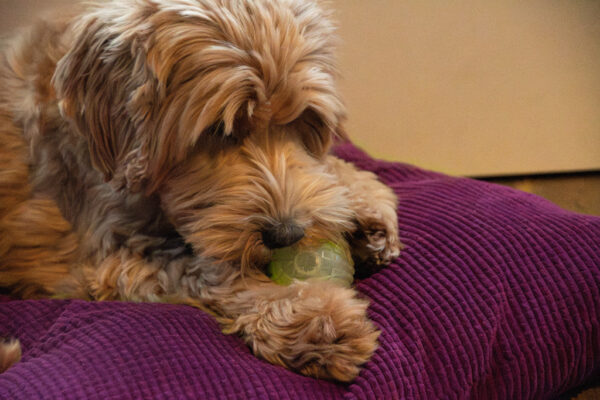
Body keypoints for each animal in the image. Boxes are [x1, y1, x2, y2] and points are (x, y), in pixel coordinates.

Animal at [1, 0, 404, 382]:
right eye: (219, 130)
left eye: (306, 120)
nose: (286, 234)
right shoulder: (105, 254)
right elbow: (210, 272)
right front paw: (310, 314)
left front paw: (365, 206)